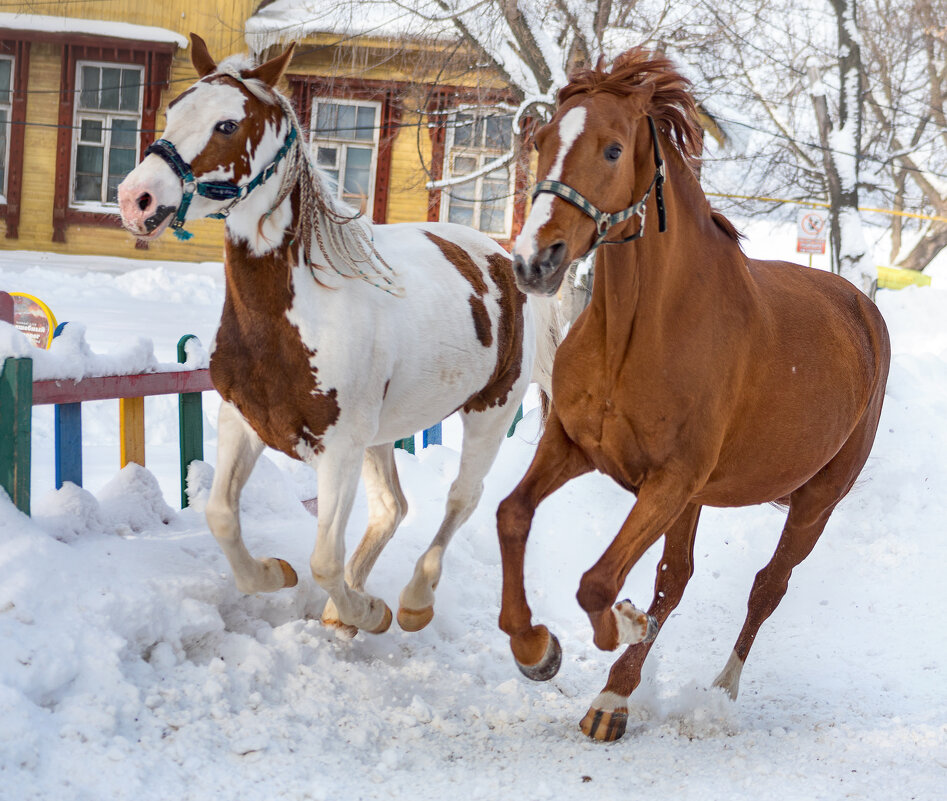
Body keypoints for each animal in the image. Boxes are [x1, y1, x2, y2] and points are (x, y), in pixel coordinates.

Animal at [119, 36, 564, 636]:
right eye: (173, 110)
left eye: (228, 124)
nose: (135, 198)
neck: (293, 317)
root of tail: (501, 256)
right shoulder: (243, 420)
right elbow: (221, 518)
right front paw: (276, 574)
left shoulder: (340, 449)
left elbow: (323, 559)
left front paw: (369, 610)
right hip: (382, 434)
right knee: (393, 507)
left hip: (488, 415)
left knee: (460, 500)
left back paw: (410, 600)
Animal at [500, 48, 892, 736]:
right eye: (542, 141)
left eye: (612, 149)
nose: (534, 261)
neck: (638, 331)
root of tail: (863, 310)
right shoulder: (572, 445)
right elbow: (512, 516)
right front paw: (535, 651)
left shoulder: (671, 480)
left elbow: (599, 583)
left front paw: (620, 625)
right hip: (697, 499)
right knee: (676, 577)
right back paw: (616, 695)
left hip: (814, 501)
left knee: (767, 585)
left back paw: (708, 694)